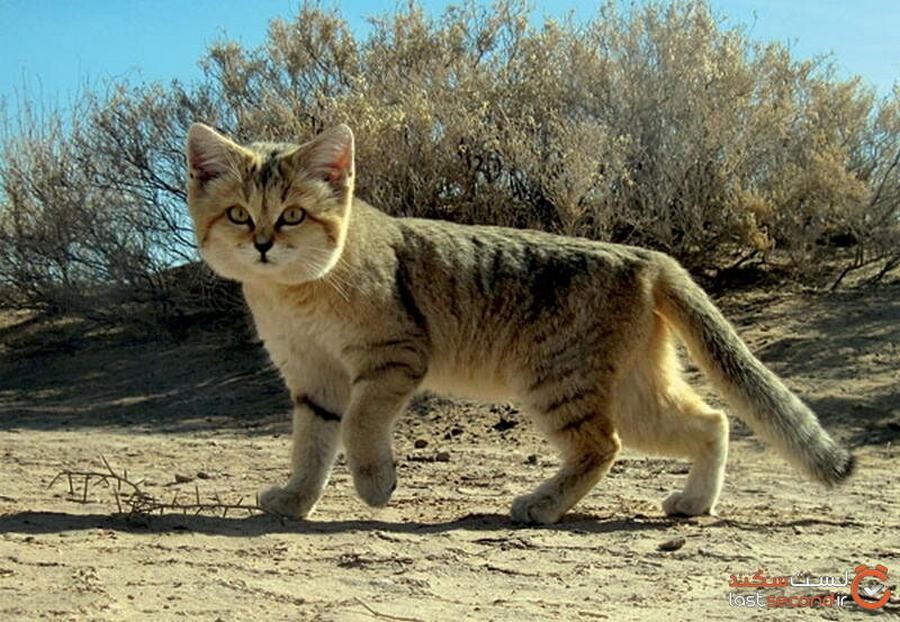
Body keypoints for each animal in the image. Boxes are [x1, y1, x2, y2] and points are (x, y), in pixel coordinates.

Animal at [186, 123, 856, 528]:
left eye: (293, 215)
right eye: (239, 215)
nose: (264, 244)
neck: (293, 293)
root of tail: (649, 257)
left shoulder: (391, 357)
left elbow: (358, 424)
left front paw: (375, 484)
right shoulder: (313, 380)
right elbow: (310, 445)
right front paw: (294, 501)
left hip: (555, 382)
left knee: (602, 445)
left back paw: (542, 504)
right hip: (634, 391)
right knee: (712, 422)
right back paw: (694, 503)